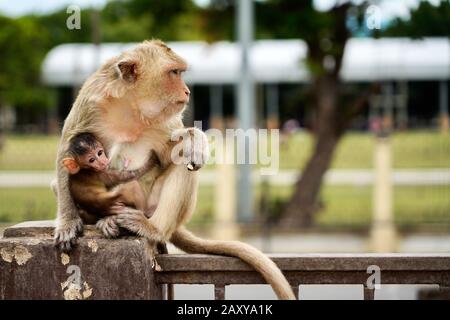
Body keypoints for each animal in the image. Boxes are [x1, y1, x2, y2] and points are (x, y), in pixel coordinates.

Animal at [54, 40, 296, 300]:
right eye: (174, 73)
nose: (187, 91)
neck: (132, 106)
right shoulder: (91, 101)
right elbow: (66, 154)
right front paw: (68, 222)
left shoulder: (165, 120)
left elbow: (174, 154)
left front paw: (195, 141)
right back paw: (103, 219)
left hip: (154, 206)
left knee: (182, 168)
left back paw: (153, 229)